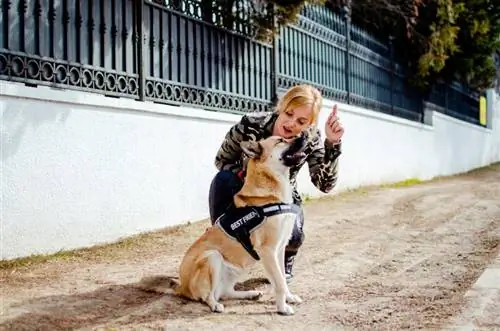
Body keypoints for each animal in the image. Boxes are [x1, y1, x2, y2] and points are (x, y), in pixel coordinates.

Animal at [139, 134, 306, 316]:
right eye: (280, 141)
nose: (305, 135)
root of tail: (182, 287)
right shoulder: (267, 251)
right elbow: (279, 283)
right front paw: (282, 308)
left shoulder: (280, 249)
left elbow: (282, 278)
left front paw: (289, 298)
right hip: (213, 256)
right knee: (208, 296)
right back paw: (215, 305)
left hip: (238, 268)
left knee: (225, 292)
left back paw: (250, 294)